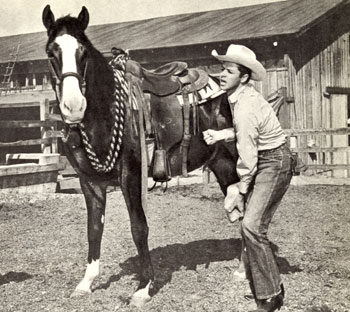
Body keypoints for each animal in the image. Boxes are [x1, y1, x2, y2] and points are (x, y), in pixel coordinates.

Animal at [40, 4, 238, 308]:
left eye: (83, 52)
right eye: (52, 52)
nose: (73, 106)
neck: (105, 112)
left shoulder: (131, 174)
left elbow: (138, 227)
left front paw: (144, 287)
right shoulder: (89, 182)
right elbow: (93, 228)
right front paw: (86, 283)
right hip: (221, 162)